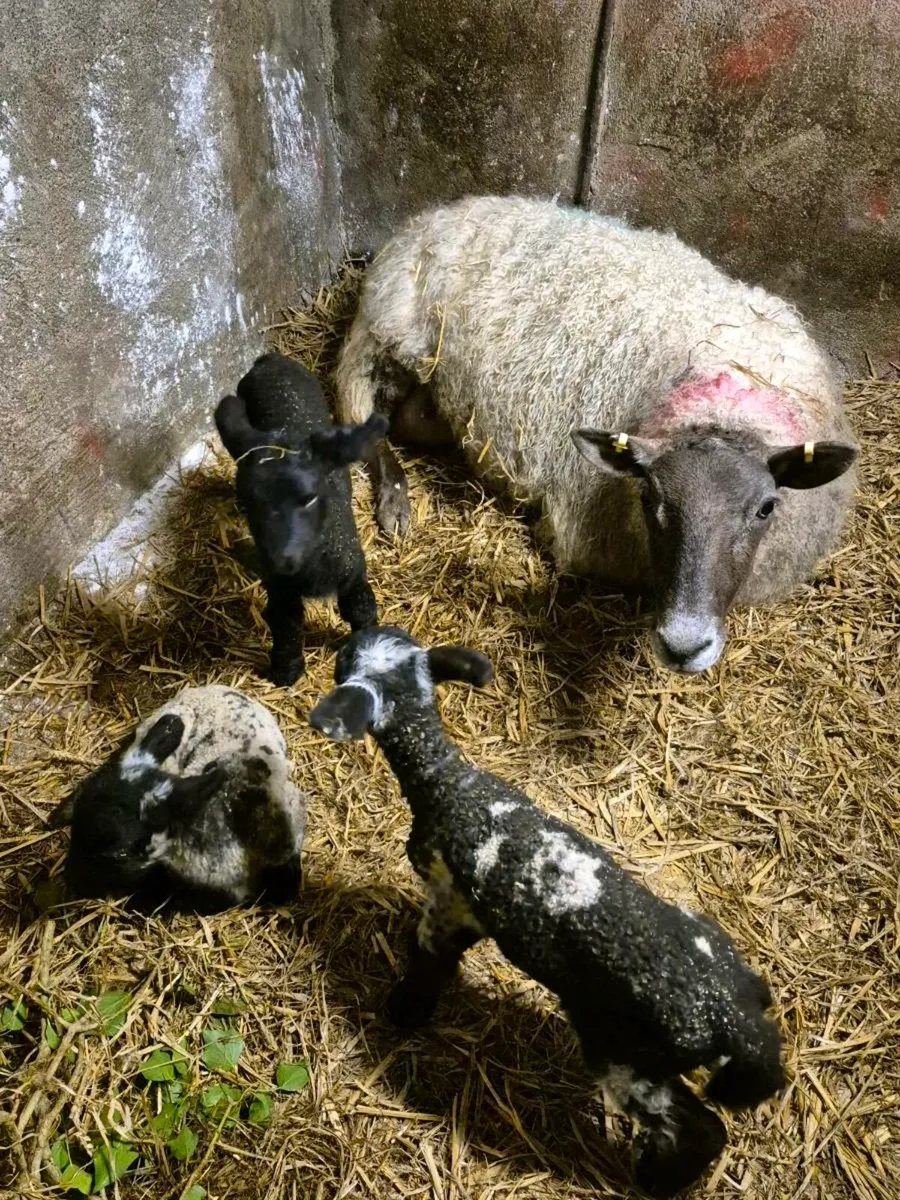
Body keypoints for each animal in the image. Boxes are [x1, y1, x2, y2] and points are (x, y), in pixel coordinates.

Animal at [215, 352, 388, 686]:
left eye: (310, 497)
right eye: (250, 503)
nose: (283, 559)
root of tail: (269, 360)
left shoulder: (353, 569)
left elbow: (361, 609)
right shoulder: (280, 588)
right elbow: (286, 626)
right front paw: (286, 670)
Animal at [309, 626, 784, 1198]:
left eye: (343, 661)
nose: (338, 647)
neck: (448, 784)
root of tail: (732, 1017)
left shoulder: (447, 902)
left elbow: (429, 963)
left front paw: (403, 1013)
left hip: (626, 1051)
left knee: (699, 1128)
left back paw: (654, 1179)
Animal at [336, 195, 858, 673]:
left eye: (767, 508)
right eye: (649, 498)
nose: (684, 644)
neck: (723, 401)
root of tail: (440, 213)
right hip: (386, 336)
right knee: (359, 414)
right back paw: (395, 502)